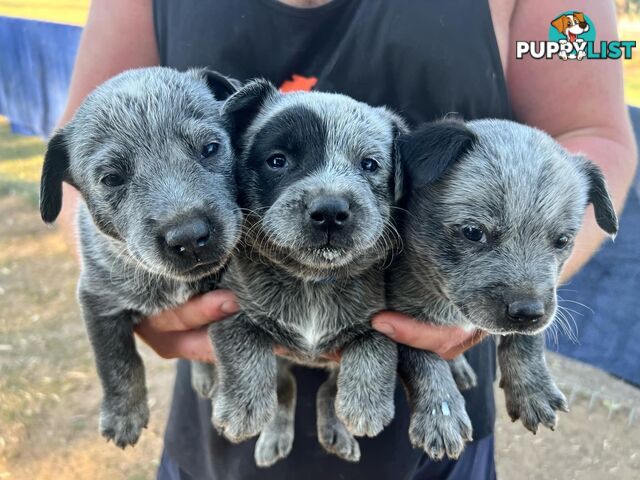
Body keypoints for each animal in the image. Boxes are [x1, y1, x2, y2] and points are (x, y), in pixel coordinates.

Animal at [38, 65, 242, 448]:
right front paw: (123, 415)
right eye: (111, 178)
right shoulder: (98, 300)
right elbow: (116, 359)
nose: (189, 237)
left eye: (210, 148)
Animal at [202, 78, 402, 464]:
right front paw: (242, 408)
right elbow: (246, 348)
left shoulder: (383, 315)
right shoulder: (229, 305)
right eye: (277, 161)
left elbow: (373, 345)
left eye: (370, 164)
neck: (311, 281)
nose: (330, 212)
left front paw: (364, 404)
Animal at [388, 118, 616, 460]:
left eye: (562, 240)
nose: (528, 312)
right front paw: (440, 414)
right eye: (473, 232)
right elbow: (422, 358)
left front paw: (532, 389)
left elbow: (527, 337)